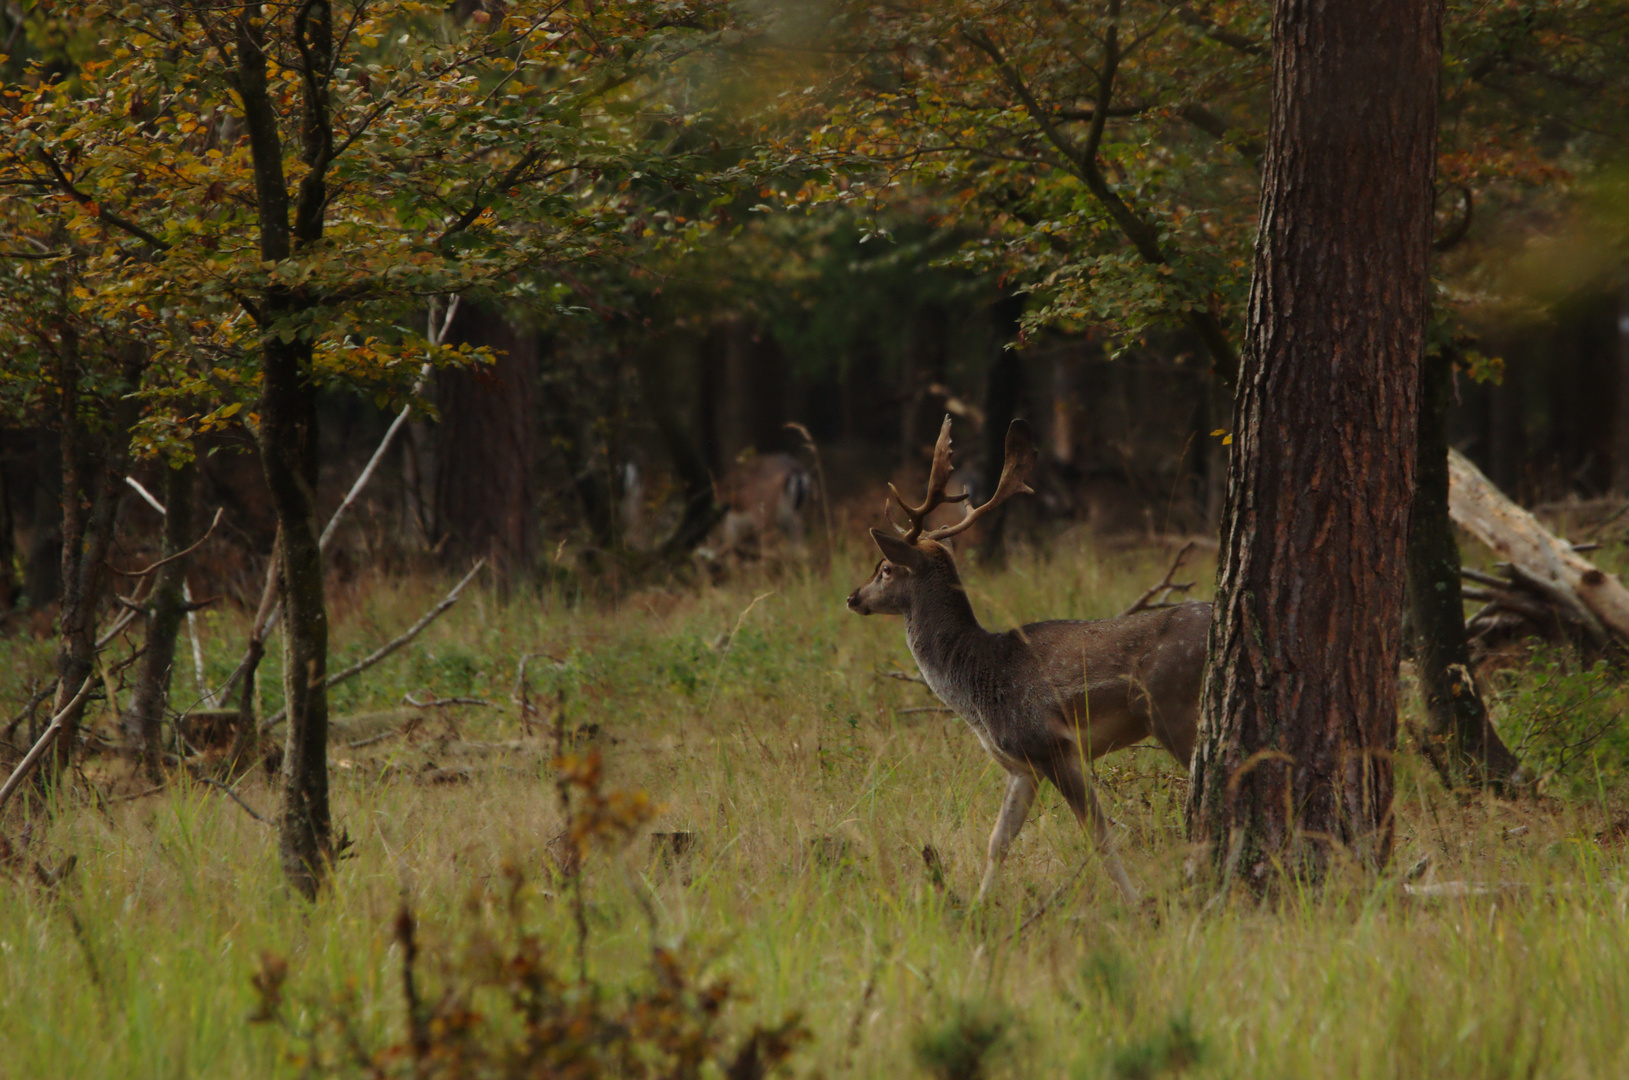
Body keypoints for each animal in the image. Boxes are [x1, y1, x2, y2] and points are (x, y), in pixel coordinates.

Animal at [853, 413, 1211, 905]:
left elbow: (1100, 835)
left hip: (1171, 707)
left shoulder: (1050, 743)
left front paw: (1135, 903)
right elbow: (998, 840)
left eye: (885, 569)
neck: (977, 685)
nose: (853, 597)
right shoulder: (1021, 766)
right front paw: (978, 907)